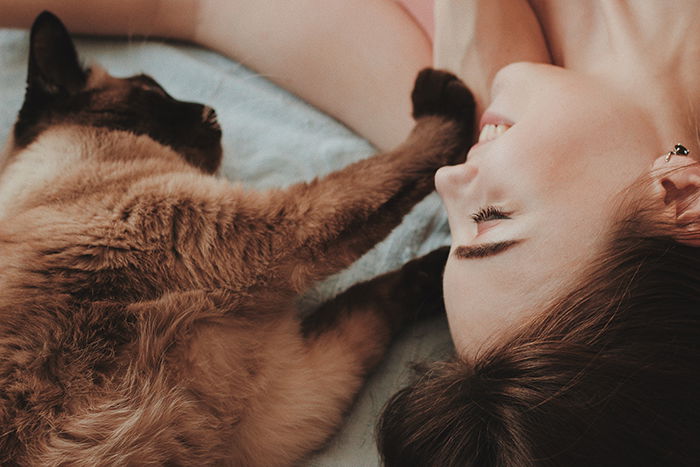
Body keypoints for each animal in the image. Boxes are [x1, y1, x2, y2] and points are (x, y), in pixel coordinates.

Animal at [0, 11, 476, 467]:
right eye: (152, 90)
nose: (211, 113)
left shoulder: (294, 398)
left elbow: (375, 296)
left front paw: (450, 272)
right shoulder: (272, 229)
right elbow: (391, 171)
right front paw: (445, 100)